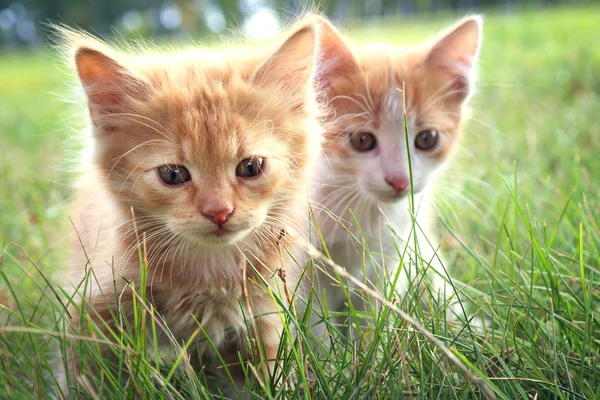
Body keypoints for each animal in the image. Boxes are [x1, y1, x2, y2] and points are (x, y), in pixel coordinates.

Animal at [60, 18, 322, 394]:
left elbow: (269, 374)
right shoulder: (91, 309)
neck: (209, 272)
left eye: (251, 167)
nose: (219, 212)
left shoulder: (264, 313)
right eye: (173, 174)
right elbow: (85, 376)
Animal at [310, 16, 482, 334]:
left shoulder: (389, 259)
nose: (400, 180)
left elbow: (372, 319)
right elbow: (313, 322)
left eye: (427, 138)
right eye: (362, 140)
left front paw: (368, 346)